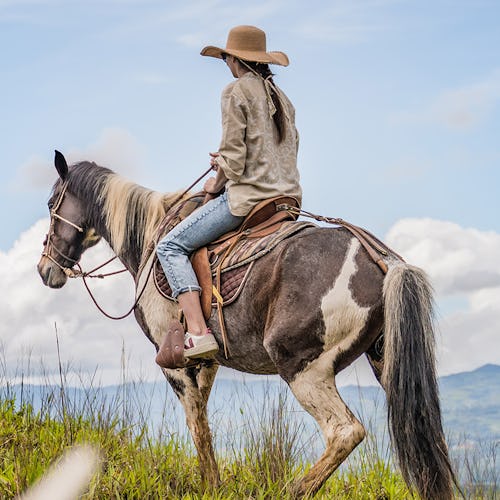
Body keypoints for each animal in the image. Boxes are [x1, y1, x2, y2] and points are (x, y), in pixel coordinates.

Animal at [36, 150, 458, 498]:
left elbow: (196, 425)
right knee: (418, 435)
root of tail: (383, 260)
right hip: (386, 363)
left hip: (303, 368)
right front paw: (214, 484)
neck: (153, 240)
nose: (44, 269)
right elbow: (203, 424)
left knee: (344, 431)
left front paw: (209, 487)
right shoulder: (205, 362)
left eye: (51, 202)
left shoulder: (173, 364)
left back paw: (293, 489)